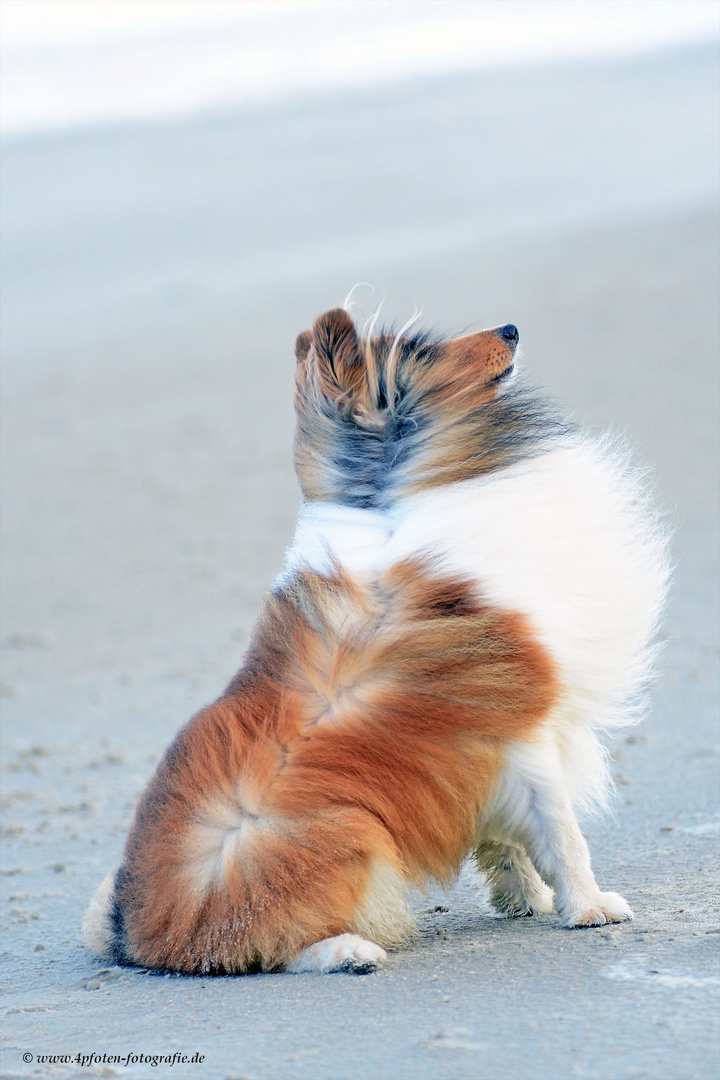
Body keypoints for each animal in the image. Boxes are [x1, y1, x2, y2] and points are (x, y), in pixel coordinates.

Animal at [81, 308, 669, 976]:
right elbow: (564, 836)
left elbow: (506, 838)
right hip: (338, 831)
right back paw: (351, 951)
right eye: (420, 349)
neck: (386, 500)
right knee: (271, 946)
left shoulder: (473, 757)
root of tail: (136, 934)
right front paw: (590, 907)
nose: (512, 330)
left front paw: (526, 898)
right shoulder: (524, 730)